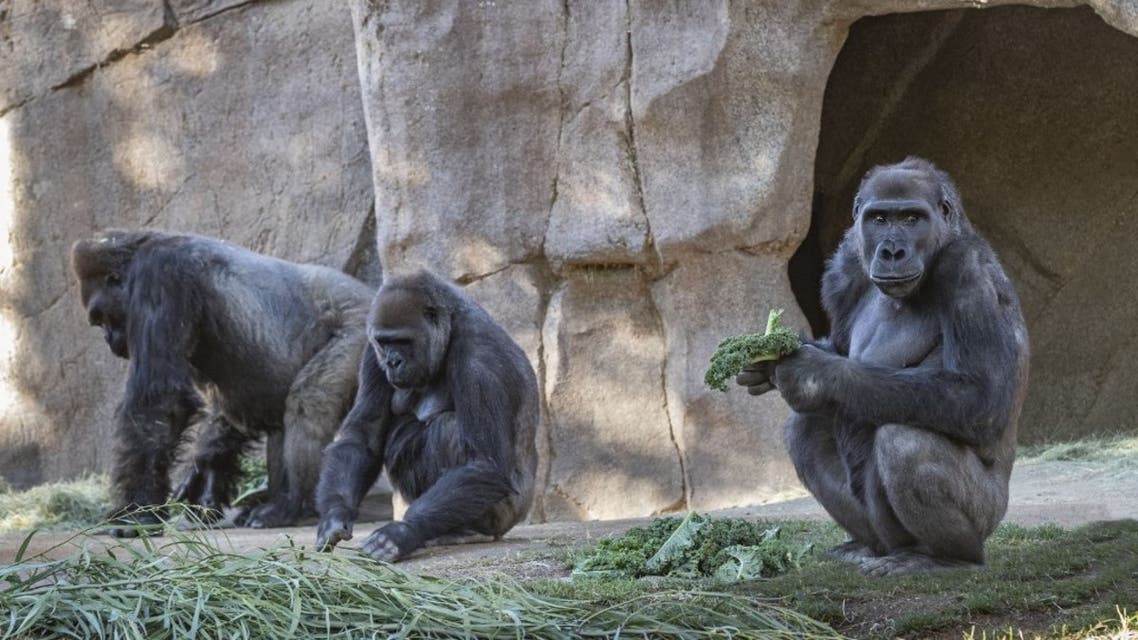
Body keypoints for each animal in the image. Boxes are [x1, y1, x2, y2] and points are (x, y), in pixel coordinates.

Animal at [72, 228, 373, 532]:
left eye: (102, 316)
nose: (108, 339)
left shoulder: (159, 274)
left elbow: (160, 401)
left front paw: (138, 509)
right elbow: (233, 408)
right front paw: (205, 471)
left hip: (360, 329)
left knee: (309, 402)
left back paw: (290, 503)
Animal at [316, 268, 537, 558]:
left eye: (403, 341)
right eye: (384, 342)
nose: (393, 362)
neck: (451, 327)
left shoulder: (480, 358)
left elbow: (484, 463)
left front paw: (403, 532)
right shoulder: (372, 353)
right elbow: (362, 438)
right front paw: (334, 515)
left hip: (507, 516)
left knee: (447, 428)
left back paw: (466, 531)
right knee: (403, 432)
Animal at [737, 158, 1033, 573]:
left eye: (911, 218)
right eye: (879, 218)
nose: (892, 251)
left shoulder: (965, 268)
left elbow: (980, 394)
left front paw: (812, 375)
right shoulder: (846, 266)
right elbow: (839, 347)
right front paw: (765, 362)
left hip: (990, 514)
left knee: (904, 441)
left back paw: (946, 557)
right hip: (878, 530)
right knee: (805, 429)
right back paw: (866, 546)